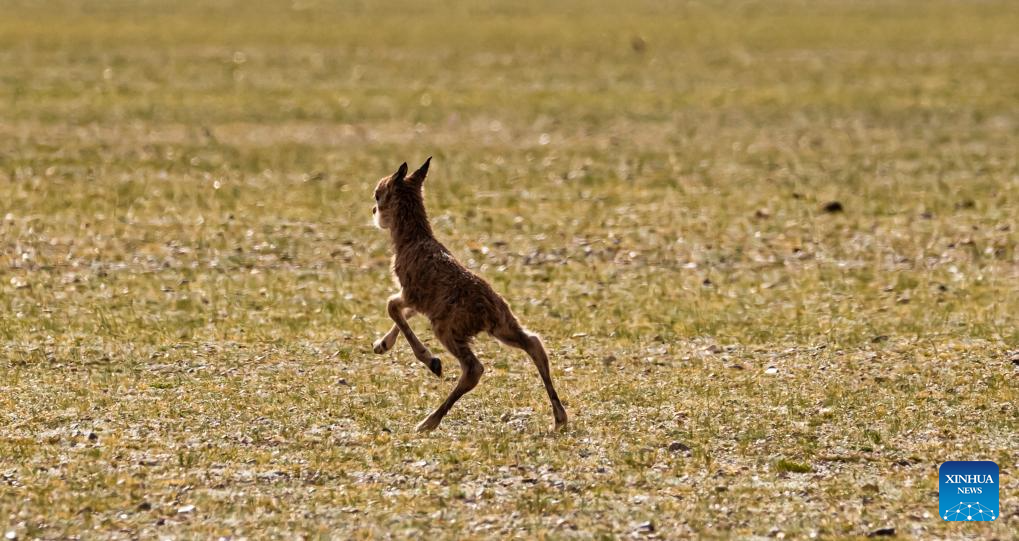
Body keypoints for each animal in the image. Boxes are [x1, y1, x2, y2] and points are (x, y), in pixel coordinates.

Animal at [370, 158, 570, 434]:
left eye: (378, 194)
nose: (373, 211)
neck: (414, 239)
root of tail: (489, 310)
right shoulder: (420, 303)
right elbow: (402, 313)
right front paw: (381, 345)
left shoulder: (411, 293)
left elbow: (392, 307)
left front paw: (430, 360)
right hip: (503, 327)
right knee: (533, 344)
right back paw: (559, 418)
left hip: (447, 329)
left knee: (473, 368)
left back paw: (428, 421)